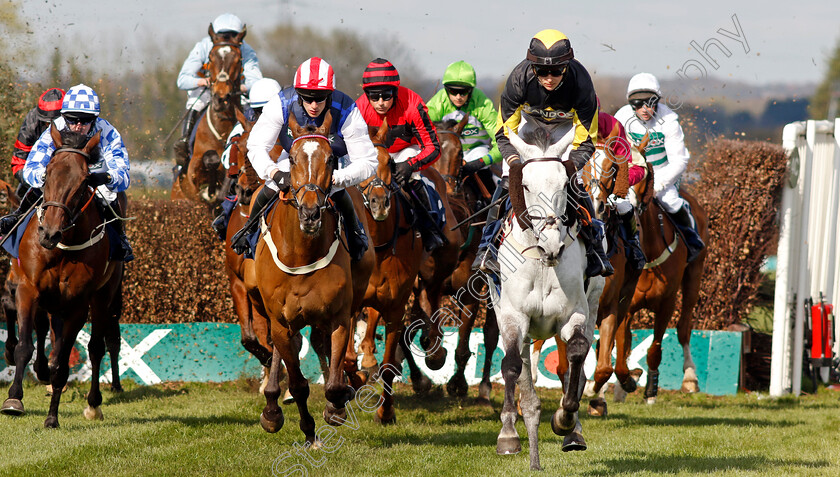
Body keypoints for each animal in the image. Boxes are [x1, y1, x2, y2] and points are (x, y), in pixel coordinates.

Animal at [0, 124, 124, 426]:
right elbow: (25, 345)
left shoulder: (78, 303)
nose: (49, 233)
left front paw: (52, 417)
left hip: (103, 297)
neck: (62, 246)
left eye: (83, 181)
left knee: (96, 347)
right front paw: (14, 399)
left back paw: (94, 404)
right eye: (47, 173)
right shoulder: (28, 288)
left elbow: (63, 361)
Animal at [254, 110, 376, 442]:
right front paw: (308, 431)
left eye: (331, 159)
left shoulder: (339, 316)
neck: (302, 253)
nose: (310, 213)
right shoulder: (280, 320)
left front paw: (335, 408)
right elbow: (297, 383)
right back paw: (272, 407)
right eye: (293, 160)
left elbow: (333, 383)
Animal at [492, 122, 604, 468]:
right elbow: (511, 365)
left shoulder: (574, 314)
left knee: (574, 365)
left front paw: (565, 421)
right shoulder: (513, 316)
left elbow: (577, 354)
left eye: (565, 184)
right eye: (525, 185)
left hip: (594, 302)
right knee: (523, 372)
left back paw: (572, 432)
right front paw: (508, 434)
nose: (551, 245)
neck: (543, 262)